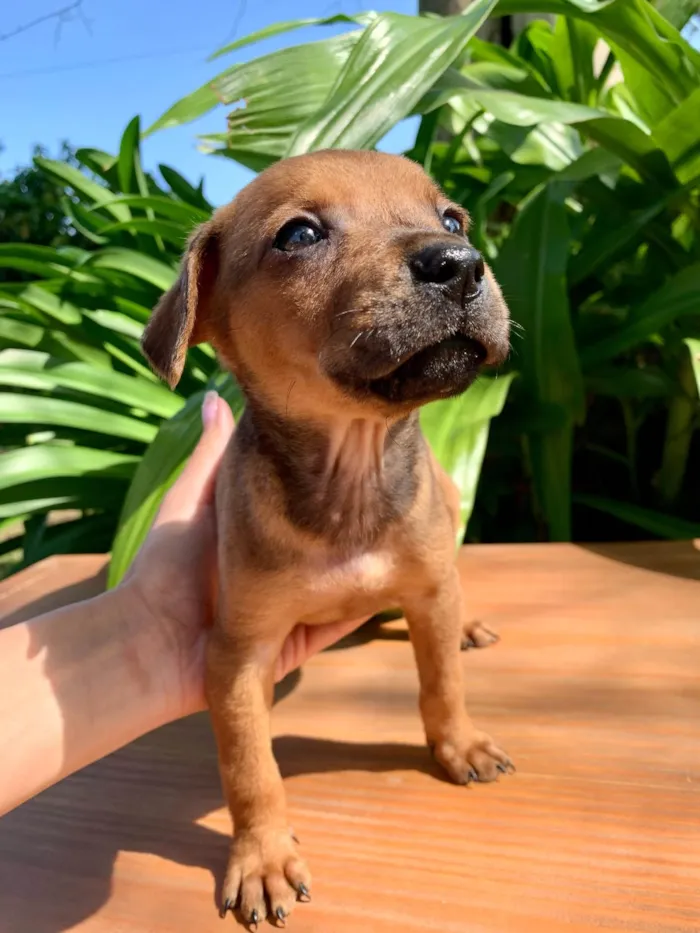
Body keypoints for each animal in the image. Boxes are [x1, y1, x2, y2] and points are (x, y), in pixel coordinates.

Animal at [144, 151, 516, 924]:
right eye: (299, 235)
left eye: (453, 220)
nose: (462, 265)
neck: (352, 476)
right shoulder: (237, 657)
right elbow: (251, 767)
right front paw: (262, 857)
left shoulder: (429, 588)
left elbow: (443, 682)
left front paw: (459, 744)